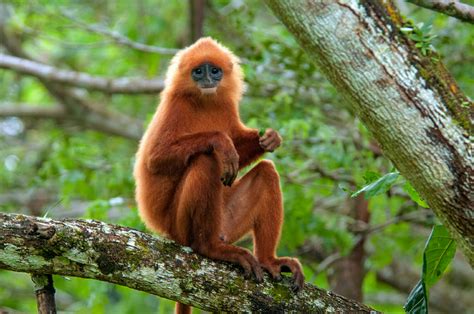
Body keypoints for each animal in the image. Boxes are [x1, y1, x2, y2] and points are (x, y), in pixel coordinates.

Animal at [133, 36, 304, 312]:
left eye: (214, 70)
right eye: (198, 71)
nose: (207, 79)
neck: (204, 101)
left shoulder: (225, 106)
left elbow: (242, 150)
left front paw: (269, 139)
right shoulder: (175, 106)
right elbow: (155, 159)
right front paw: (221, 142)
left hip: (226, 220)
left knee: (267, 171)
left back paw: (269, 260)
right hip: (179, 226)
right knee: (206, 160)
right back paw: (211, 248)